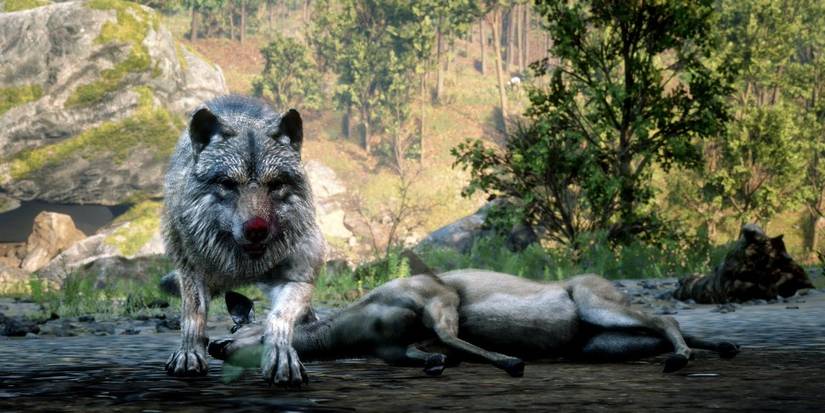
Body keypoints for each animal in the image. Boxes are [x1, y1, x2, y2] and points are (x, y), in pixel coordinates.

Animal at [162, 95, 324, 386]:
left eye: (276, 184)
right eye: (228, 184)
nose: (256, 229)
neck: (243, 266)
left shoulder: (298, 279)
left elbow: (278, 318)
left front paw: (281, 356)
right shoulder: (191, 273)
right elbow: (193, 315)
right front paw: (189, 355)